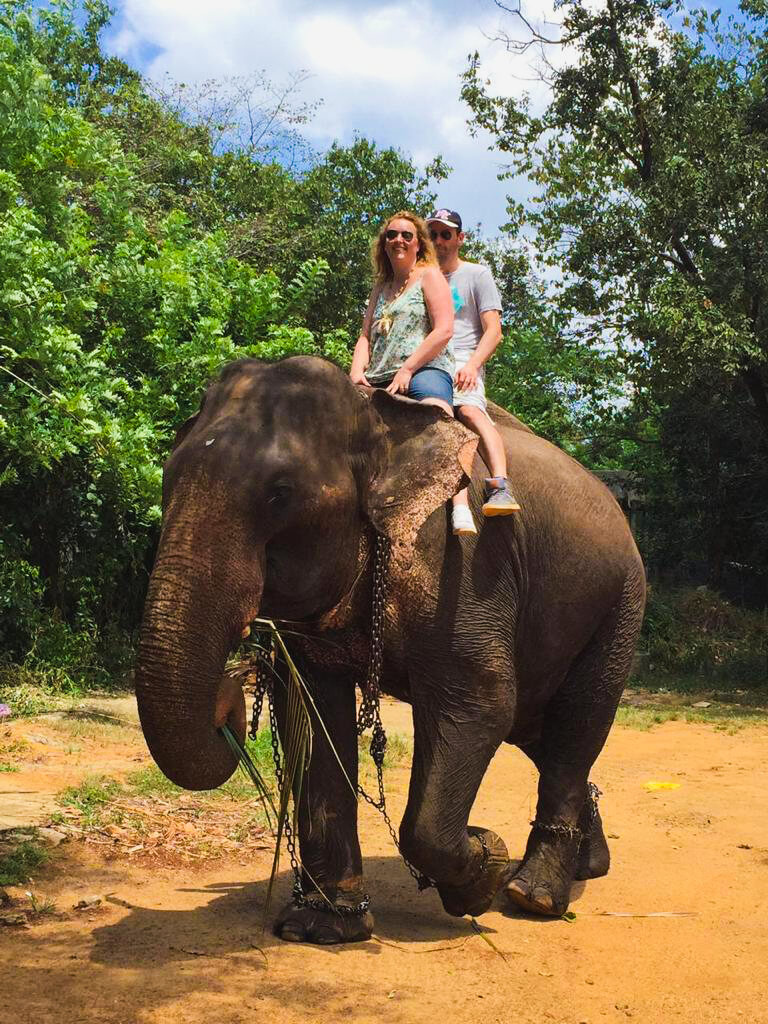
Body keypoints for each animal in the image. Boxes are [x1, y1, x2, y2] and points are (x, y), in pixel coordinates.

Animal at [135, 354, 647, 942]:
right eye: (167, 476)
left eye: (279, 493)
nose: (230, 702)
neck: (376, 420)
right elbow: (310, 713)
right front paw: (323, 926)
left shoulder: (462, 565)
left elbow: (480, 702)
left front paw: (483, 869)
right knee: (540, 730)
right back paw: (588, 865)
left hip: (620, 605)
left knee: (574, 726)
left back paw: (533, 896)